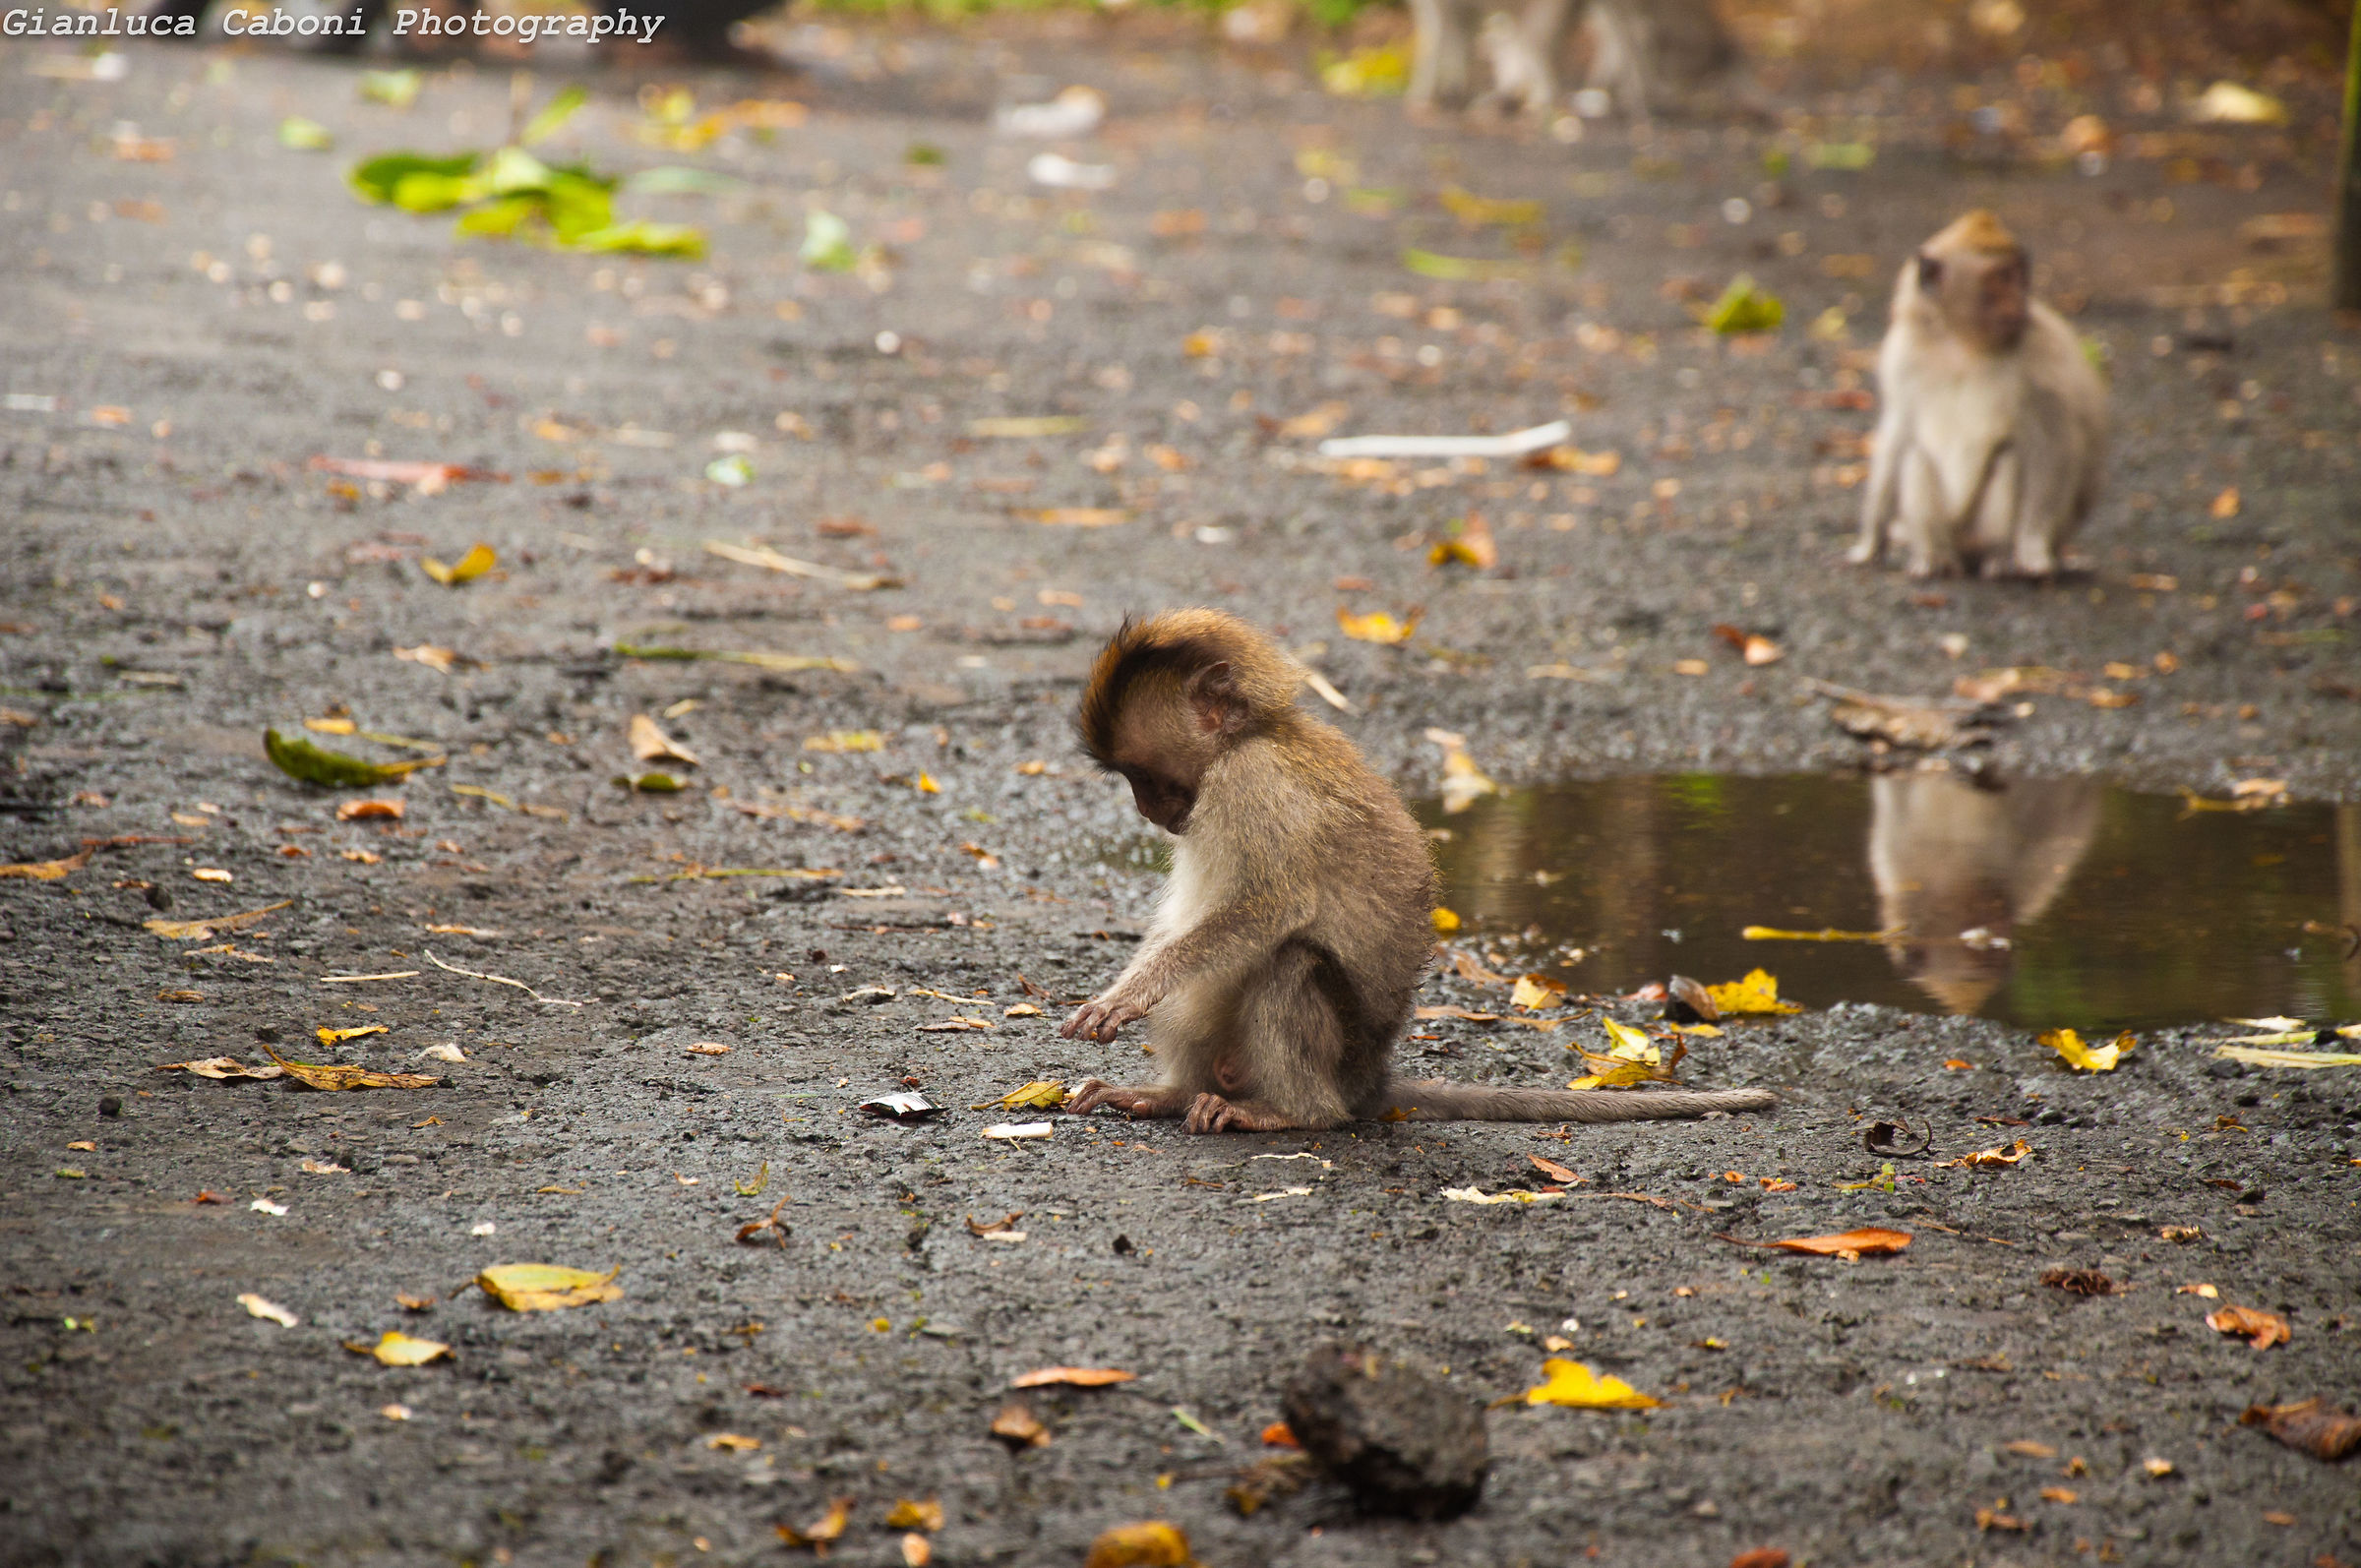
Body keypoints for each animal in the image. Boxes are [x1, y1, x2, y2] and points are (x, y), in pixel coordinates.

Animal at [1059, 609, 1777, 1134]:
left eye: (1145, 775)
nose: (1147, 808)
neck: (1249, 739)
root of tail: (1370, 1082)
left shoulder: (1252, 786)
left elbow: (1268, 910)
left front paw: (1129, 995)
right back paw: (1173, 1095)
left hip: (1341, 1060)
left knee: (1293, 964)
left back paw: (1290, 1115)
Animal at [1849, 210, 2109, 580]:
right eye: (2000, 277)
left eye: (2018, 275)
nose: (2017, 301)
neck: (1962, 345)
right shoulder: (1900, 357)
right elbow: (1899, 432)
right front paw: (1871, 541)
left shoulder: (2042, 357)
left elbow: (2054, 441)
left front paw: (2032, 547)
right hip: (1952, 528)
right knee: (1916, 455)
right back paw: (1934, 557)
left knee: (2011, 456)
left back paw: (1998, 558)